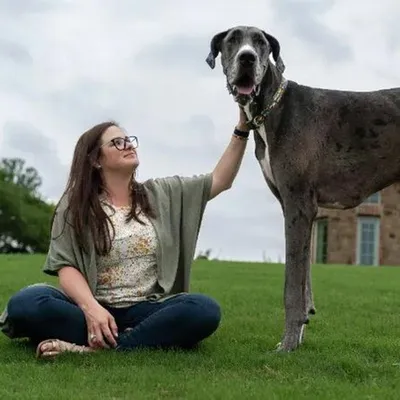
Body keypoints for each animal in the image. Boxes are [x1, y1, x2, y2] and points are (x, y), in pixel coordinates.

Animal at [206, 25, 400, 352]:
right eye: (232, 39)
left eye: (260, 41)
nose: (247, 58)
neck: (273, 108)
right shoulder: (300, 209)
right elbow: (304, 279)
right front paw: (300, 332)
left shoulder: (298, 205)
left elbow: (291, 286)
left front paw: (287, 344)